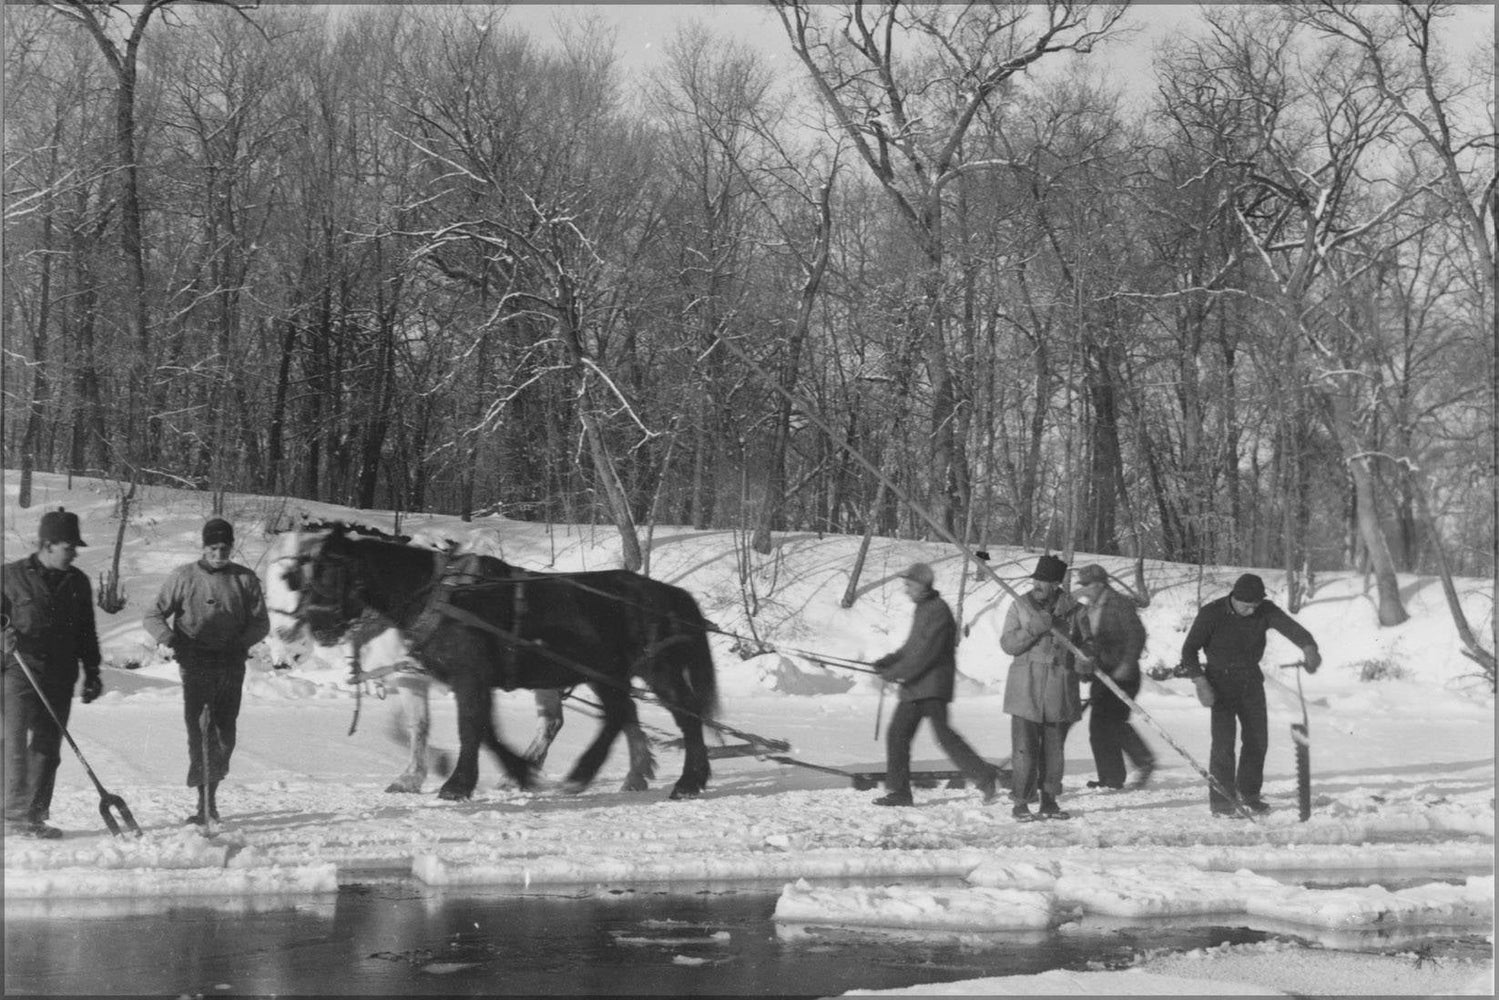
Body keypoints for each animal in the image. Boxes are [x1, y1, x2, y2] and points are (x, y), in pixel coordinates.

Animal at [287, 527, 725, 803]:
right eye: (306, 576)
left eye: (331, 573)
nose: (316, 627)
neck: (438, 598)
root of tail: (670, 593)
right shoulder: (463, 680)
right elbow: (484, 731)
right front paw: (518, 771)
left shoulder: (469, 676)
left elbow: (470, 728)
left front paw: (457, 785)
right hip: (606, 674)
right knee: (622, 714)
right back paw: (591, 774)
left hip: (656, 669)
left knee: (686, 718)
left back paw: (687, 781)